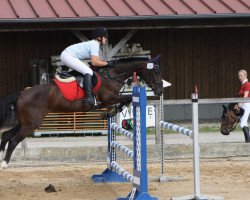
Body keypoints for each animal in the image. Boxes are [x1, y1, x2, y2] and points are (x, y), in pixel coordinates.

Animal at [0, 55, 163, 168]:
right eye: (155, 71)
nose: (160, 91)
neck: (112, 74)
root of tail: (22, 93)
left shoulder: (110, 99)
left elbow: (125, 100)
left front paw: (108, 112)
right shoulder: (109, 98)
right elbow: (127, 99)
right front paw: (110, 112)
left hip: (25, 122)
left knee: (6, 135)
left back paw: (1, 157)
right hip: (31, 124)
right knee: (13, 140)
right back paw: (5, 163)